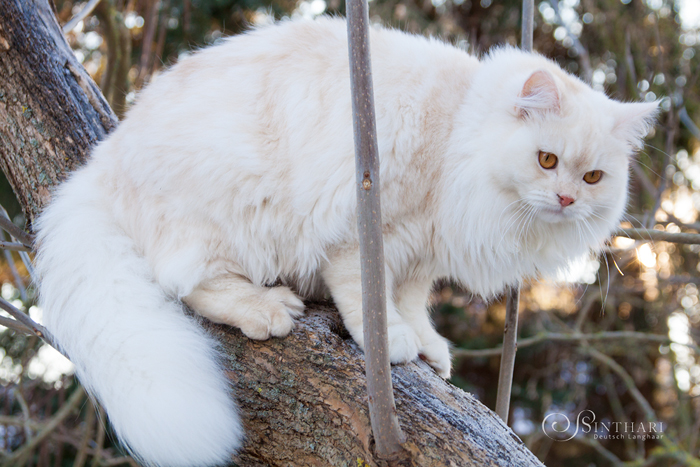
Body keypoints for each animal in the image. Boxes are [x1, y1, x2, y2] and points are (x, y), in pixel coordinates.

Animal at [32, 15, 656, 467]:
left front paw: (426, 345)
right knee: (187, 281)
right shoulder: (366, 231)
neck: (458, 134)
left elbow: (411, 301)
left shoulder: (422, 253)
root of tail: (106, 161)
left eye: (593, 177)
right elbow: (369, 297)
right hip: (227, 216)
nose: (567, 200)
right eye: (546, 161)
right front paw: (394, 344)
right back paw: (267, 309)